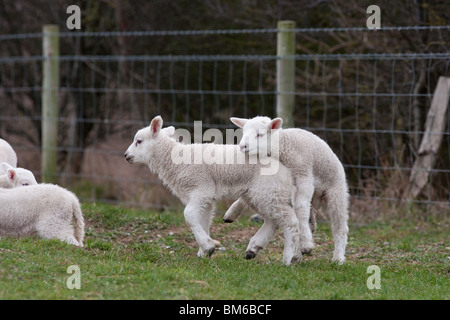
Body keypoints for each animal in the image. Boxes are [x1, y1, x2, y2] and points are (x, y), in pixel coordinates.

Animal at [125, 115, 304, 264]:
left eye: (139, 141)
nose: (126, 156)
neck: (175, 161)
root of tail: (286, 166)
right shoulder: (205, 198)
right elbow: (203, 221)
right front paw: (203, 252)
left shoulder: (201, 189)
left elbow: (189, 215)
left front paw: (208, 246)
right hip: (262, 194)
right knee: (273, 220)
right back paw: (254, 249)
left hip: (267, 190)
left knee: (290, 221)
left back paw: (289, 258)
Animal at [227, 116, 350, 264]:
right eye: (244, 132)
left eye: (260, 134)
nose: (242, 146)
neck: (283, 146)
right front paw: (232, 212)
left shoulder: (304, 175)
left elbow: (300, 208)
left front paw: (306, 244)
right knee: (301, 221)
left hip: (336, 191)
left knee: (339, 226)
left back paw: (337, 257)